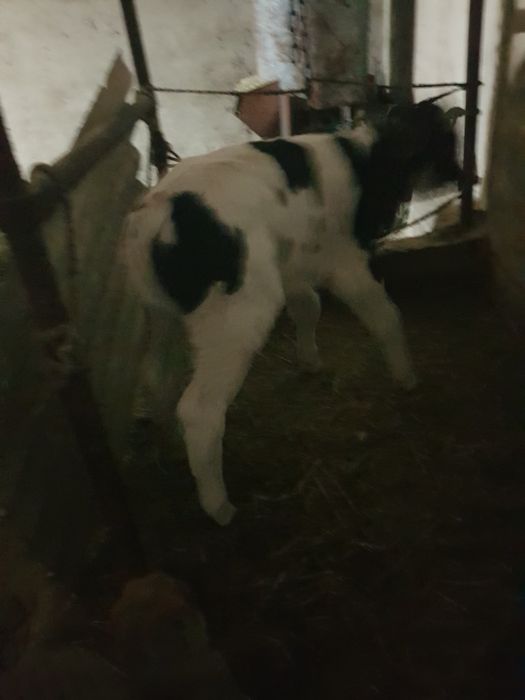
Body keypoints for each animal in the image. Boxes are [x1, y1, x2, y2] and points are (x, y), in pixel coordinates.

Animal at [122, 100, 463, 525]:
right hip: (238, 311)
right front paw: (407, 377)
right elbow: (384, 314)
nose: (463, 176)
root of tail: (161, 214)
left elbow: (308, 306)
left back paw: (168, 440)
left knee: (156, 374)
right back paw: (219, 506)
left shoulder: (294, 262)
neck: (366, 161)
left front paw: (309, 360)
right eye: (441, 141)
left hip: (161, 310)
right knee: (200, 408)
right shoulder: (345, 259)